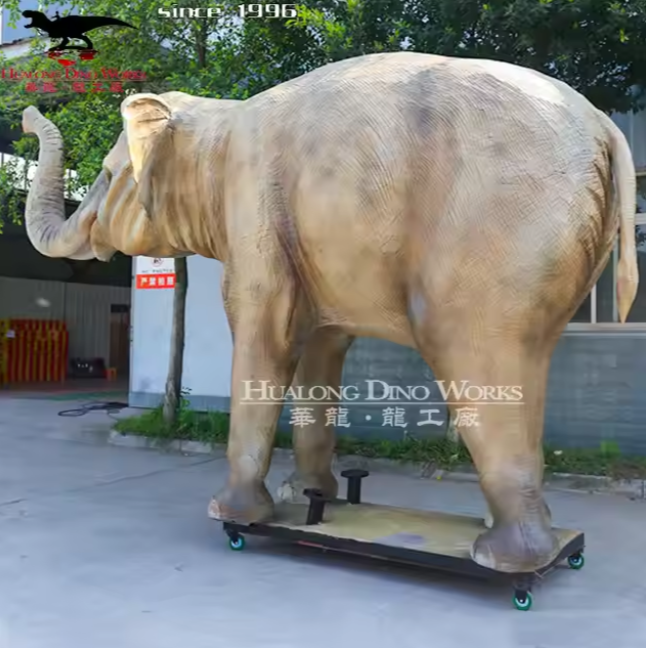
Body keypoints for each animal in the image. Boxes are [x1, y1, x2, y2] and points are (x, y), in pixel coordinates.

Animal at [21, 51, 638, 574]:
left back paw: (505, 561)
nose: (27, 115)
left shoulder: (254, 212)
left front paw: (233, 516)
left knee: (474, 355)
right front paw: (309, 499)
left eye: (106, 175)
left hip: (495, 230)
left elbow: (264, 334)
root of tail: (603, 125)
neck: (217, 115)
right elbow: (320, 348)